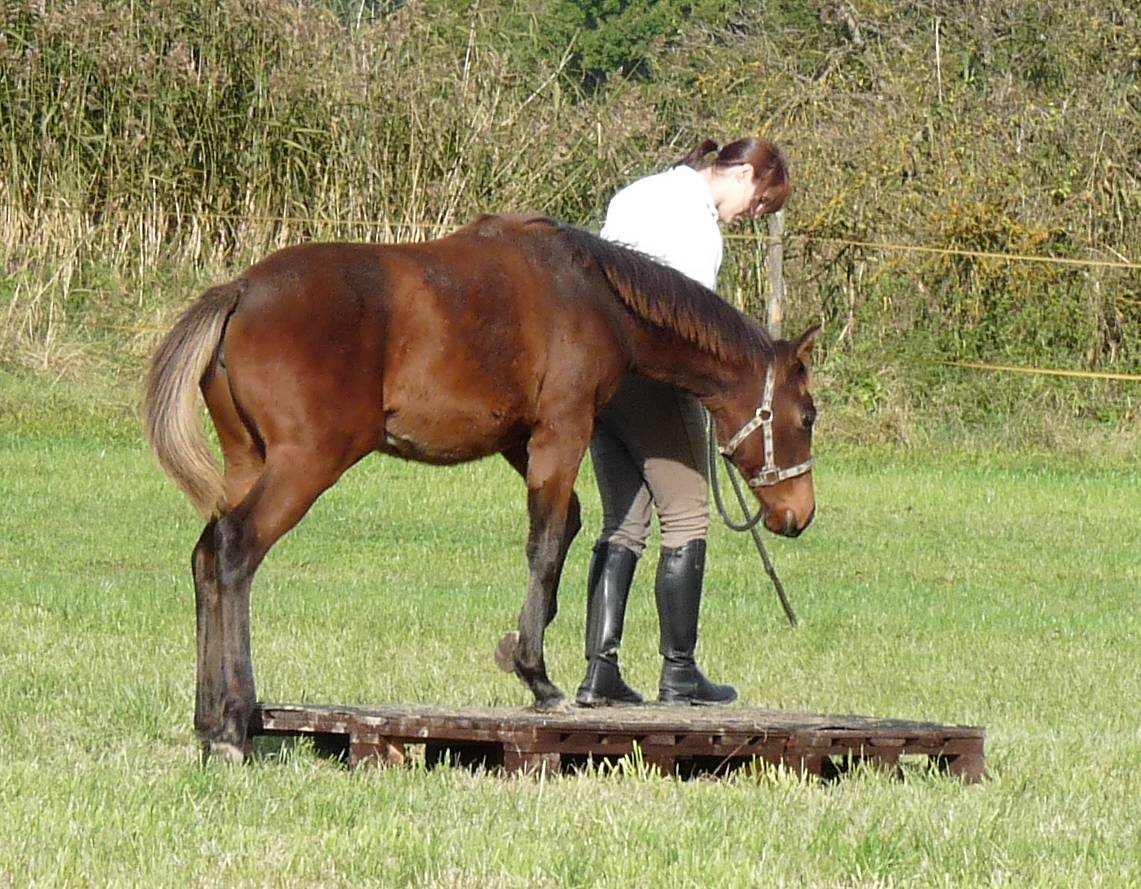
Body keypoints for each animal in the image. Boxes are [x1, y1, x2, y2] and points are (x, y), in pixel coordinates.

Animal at [144, 212, 821, 762]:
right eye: (808, 416)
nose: (799, 514)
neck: (592, 292)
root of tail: (239, 292)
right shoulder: (562, 431)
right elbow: (544, 544)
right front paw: (537, 677)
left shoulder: (520, 442)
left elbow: (569, 525)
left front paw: (522, 642)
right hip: (303, 465)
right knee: (235, 551)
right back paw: (234, 724)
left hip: (248, 462)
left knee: (207, 557)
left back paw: (208, 721)